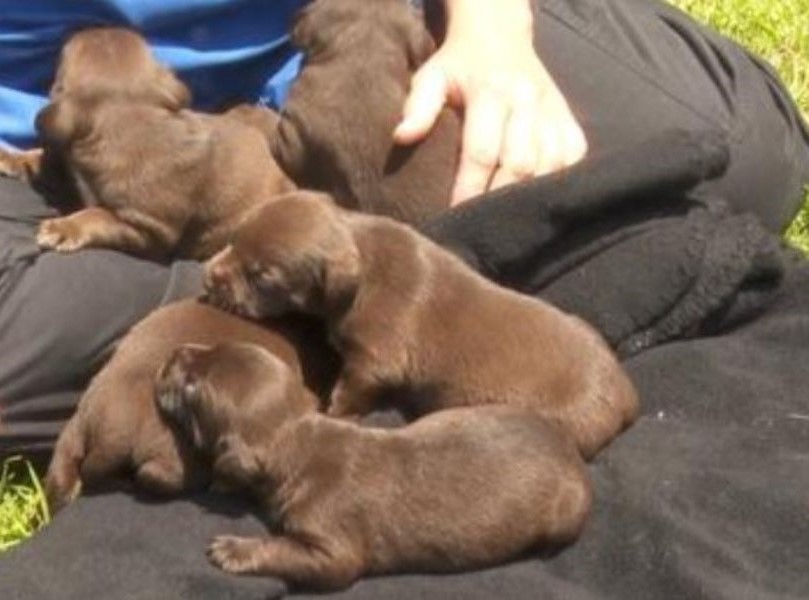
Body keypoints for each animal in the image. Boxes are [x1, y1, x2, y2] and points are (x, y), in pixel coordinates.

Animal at [28, 27, 294, 260]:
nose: (83, 25)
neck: (131, 121)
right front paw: (22, 159)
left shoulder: (148, 231)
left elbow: (98, 215)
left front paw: (64, 227)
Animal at [155, 342, 592, 592]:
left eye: (192, 385)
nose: (175, 351)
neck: (301, 439)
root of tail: (570, 451)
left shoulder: (332, 548)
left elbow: (291, 550)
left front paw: (233, 547)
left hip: (566, 514)